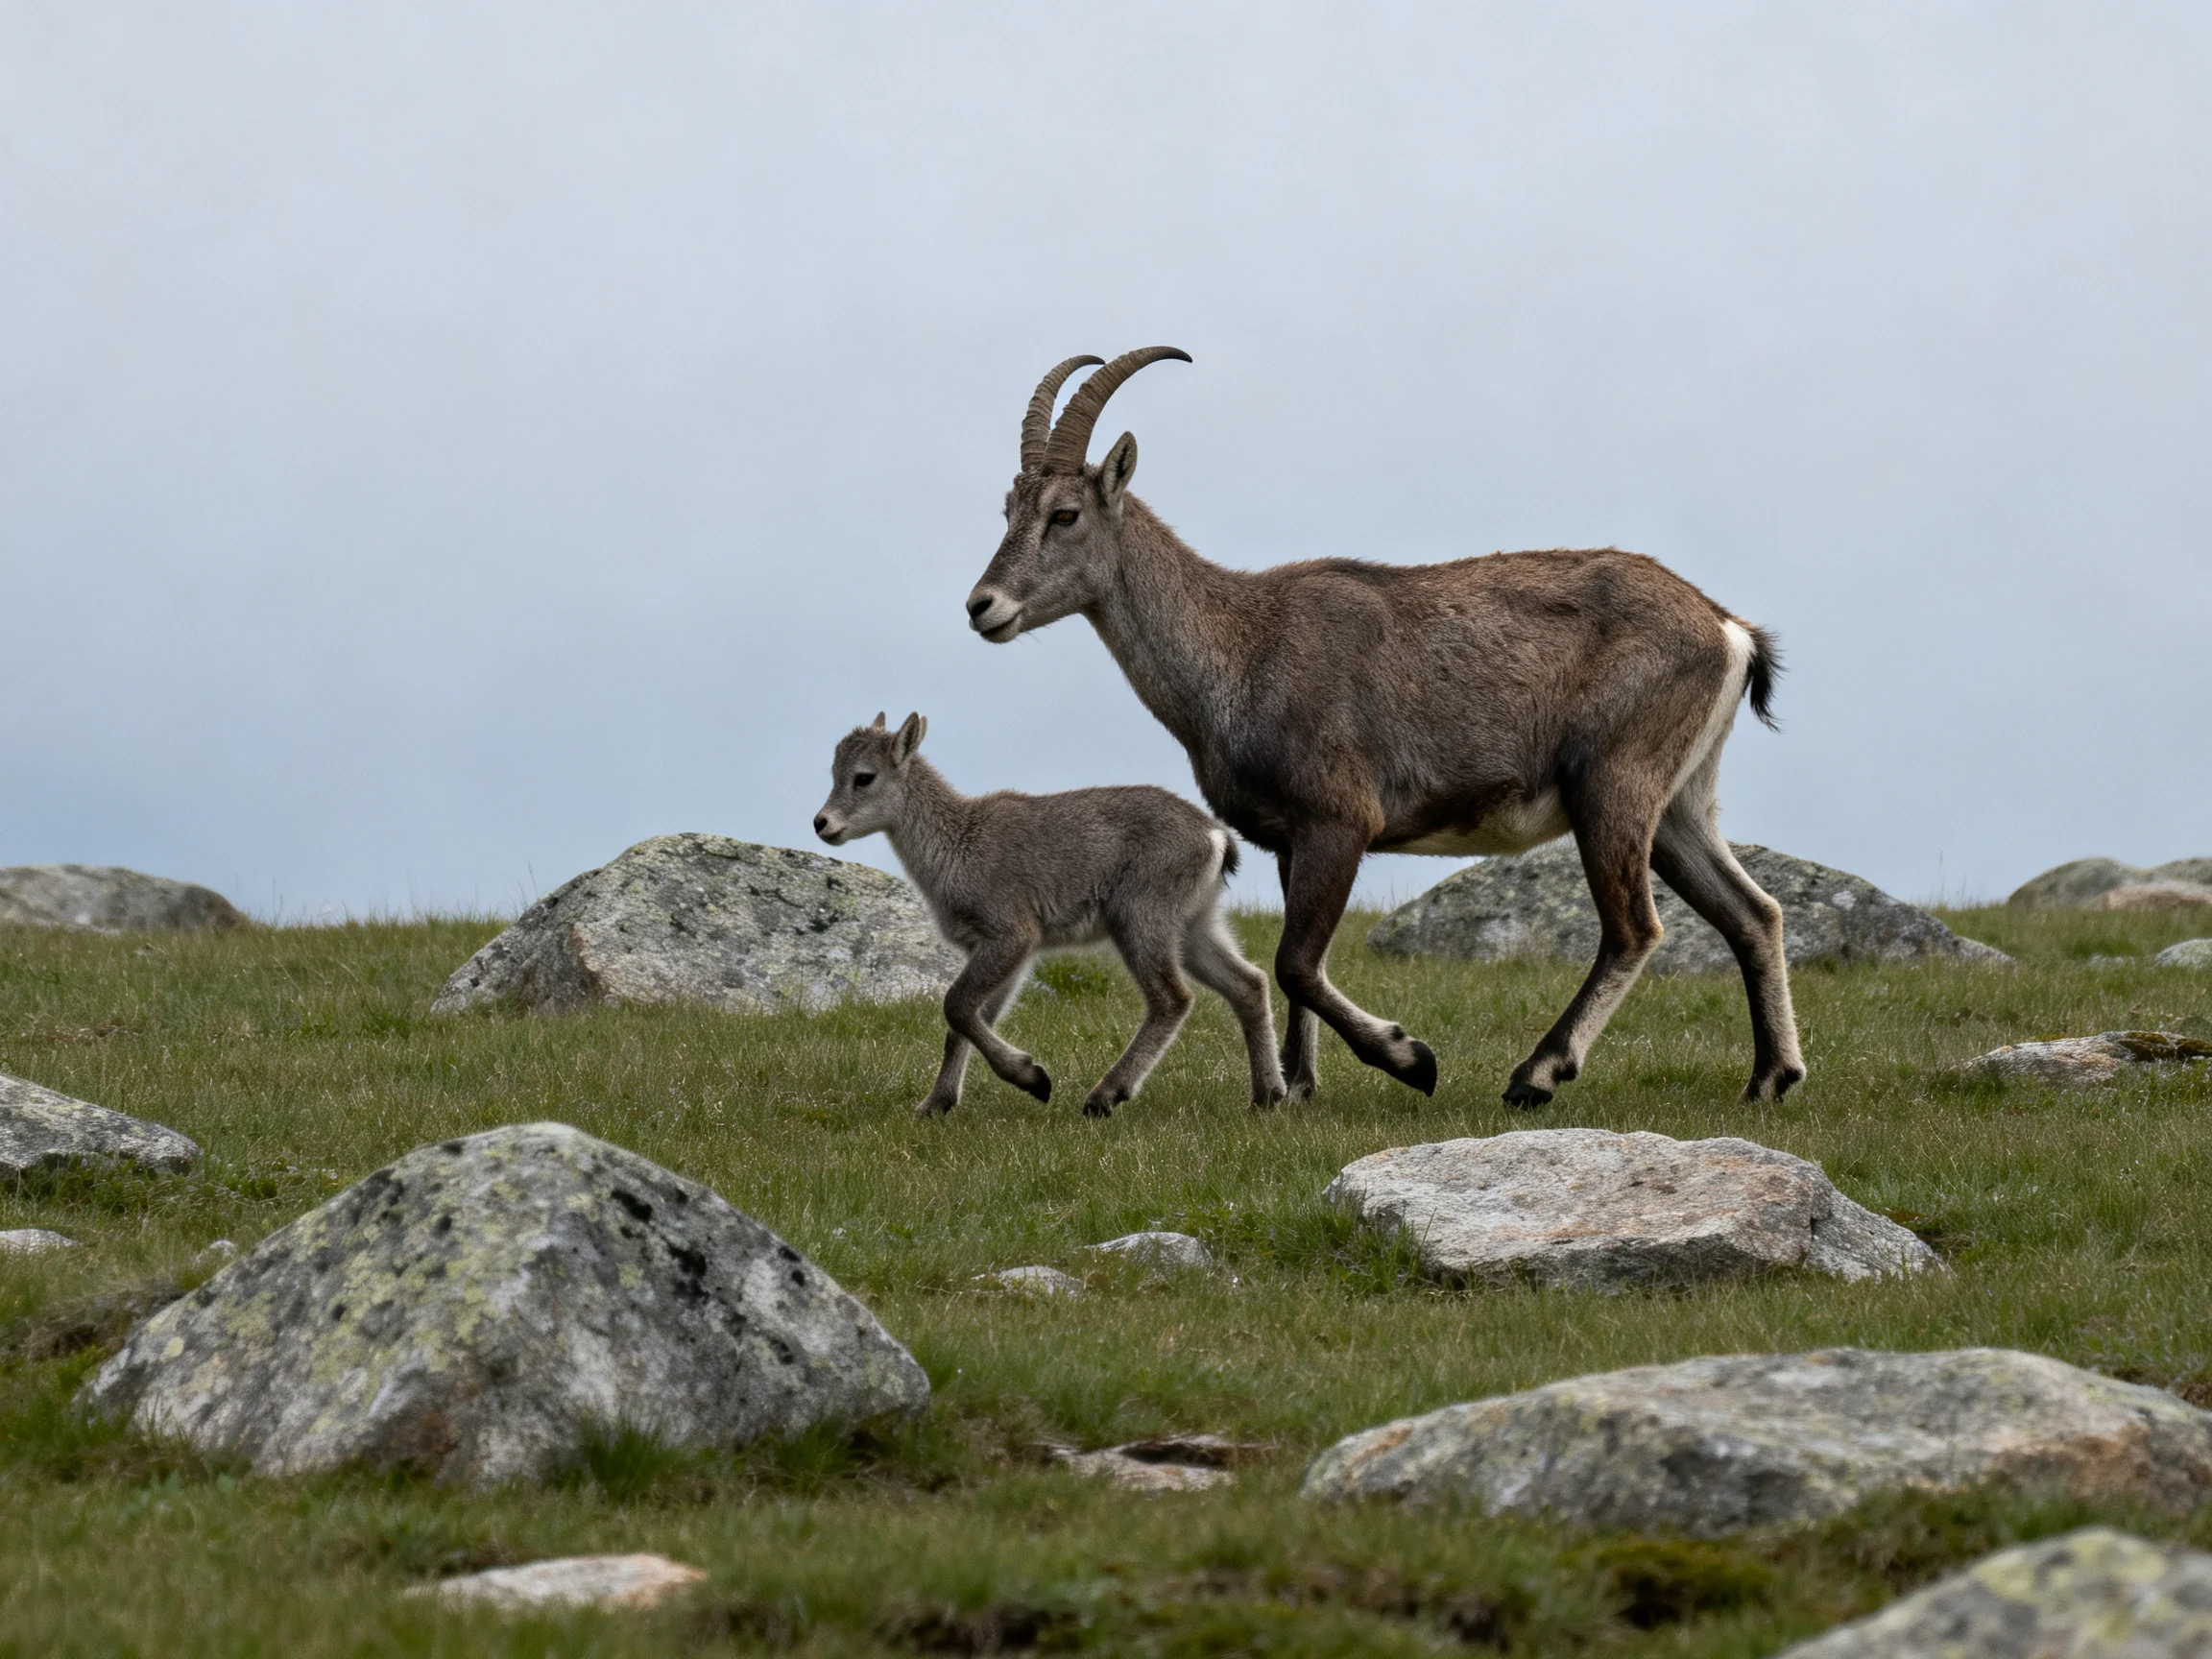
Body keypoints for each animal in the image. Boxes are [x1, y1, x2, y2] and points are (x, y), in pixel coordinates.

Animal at [813, 713, 1287, 1118]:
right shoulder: (1000, 949)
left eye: (864, 776)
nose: (822, 823)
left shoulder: (1012, 932)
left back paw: (1105, 1095)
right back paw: (1267, 1093)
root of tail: (1216, 837)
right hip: (1195, 925)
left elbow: (958, 1005)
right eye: (834, 772)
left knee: (1172, 998)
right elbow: (967, 1020)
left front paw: (1033, 1078)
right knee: (1248, 983)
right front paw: (935, 1104)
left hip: (1140, 916)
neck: (957, 845)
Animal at [964, 350, 1804, 1107]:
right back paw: (1771, 1076)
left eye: (1065, 515)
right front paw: (1296, 1086)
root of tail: (1727, 628)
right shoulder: (1290, 839)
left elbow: (1298, 962)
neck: (1241, 649)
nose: (983, 606)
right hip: (1681, 799)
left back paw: (1537, 1073)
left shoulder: (1341, 818)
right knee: (1752, 912)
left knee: (1633, 926)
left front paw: (1407, 1058)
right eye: (1007, 511)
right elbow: (1294, 968)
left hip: (1612, 782)